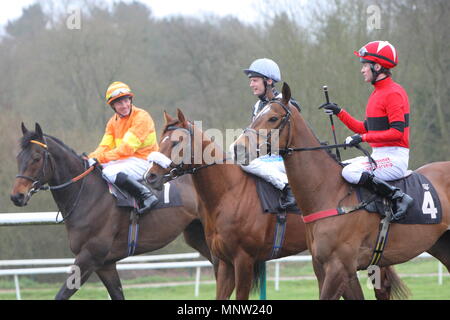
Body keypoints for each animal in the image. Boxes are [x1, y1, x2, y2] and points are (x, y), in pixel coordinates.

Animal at [9, 123, 214, 300]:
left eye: (36, 158)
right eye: (18, 157)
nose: (17, 196)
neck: (87, 194)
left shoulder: (89, 256)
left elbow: (61, 294)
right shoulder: (105, 264)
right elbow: (117, 293)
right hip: (197, 235)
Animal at [145, 109, 408, 300]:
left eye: (177, 142)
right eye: (161, 139)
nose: (151, 176)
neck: (229, 192)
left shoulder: (244, 260)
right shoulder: (224, 262)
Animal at [232, 82, 450, 300]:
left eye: (273, 118)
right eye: (256, 115)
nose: (237, 148)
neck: (328, 192)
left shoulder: (339, 267)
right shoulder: (325, 268)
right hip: (441, 245)